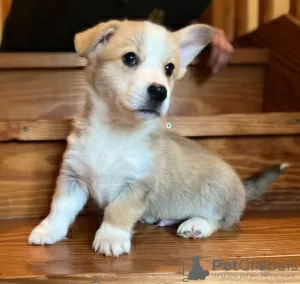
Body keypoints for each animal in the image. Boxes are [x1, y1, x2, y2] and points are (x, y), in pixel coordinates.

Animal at [28, 20, 288, 258]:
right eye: (130, 58)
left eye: (169, 69)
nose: (160, 91)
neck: (115, 130)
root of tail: (243, 186)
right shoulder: (73, 178)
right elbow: (59, 208)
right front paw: (48, 231)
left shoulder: (136, 185)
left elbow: (117, 211)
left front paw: (111, 238)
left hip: (217, 192)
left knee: (219, 220)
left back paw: (196, 225)